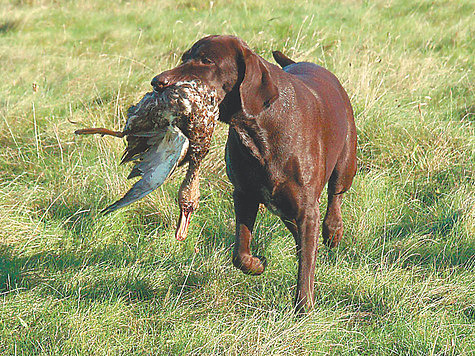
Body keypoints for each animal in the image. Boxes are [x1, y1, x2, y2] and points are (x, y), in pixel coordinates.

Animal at [152, 34, 356, 312]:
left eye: (207, 61)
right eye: (184, 58)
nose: (157, 83)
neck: (259, 131)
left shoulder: (306, 207)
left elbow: (306, 267)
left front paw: (303, 307)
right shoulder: (244, 196)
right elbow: (240, 252)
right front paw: (257, 265)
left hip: (346, 164)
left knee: (335, 195)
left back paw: (333, 231)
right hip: (284, 207)